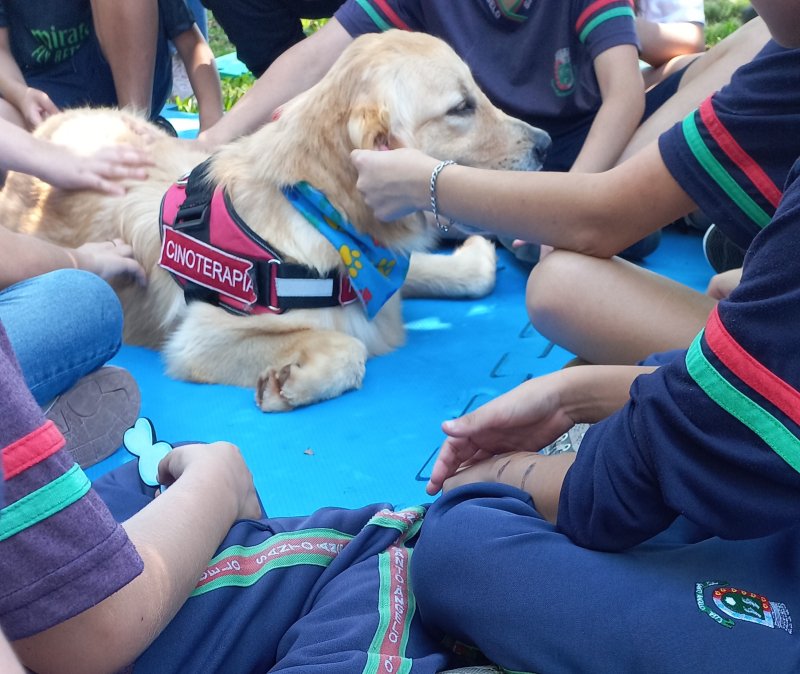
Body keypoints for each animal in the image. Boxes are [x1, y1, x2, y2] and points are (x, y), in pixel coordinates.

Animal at [0, 31, 552, 410]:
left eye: (477, 93)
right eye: (460, 108)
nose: (546, 145)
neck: (315, 203)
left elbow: (463, 277)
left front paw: (473, 257)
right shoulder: (200, 338)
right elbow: (349, 346)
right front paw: (293, 380)